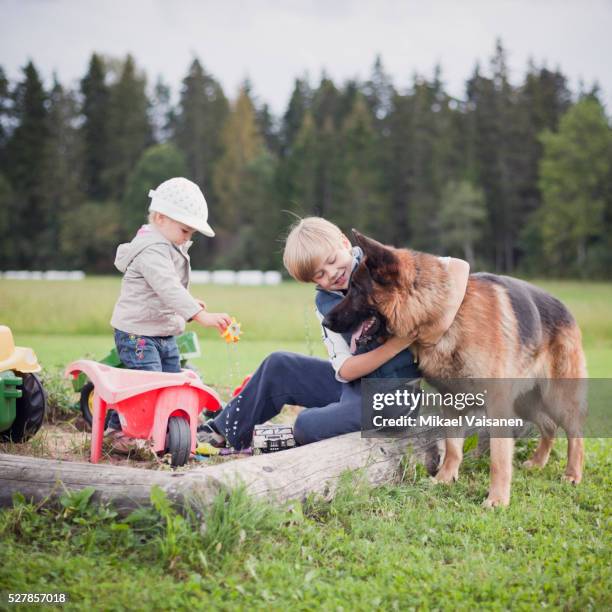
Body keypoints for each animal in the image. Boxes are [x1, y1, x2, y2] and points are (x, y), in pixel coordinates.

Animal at [326, 230, 588, 506]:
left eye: (356, 289)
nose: (325, 322)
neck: (443, 316)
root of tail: (566, 308)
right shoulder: (452, 401)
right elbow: (452, 445)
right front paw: (445, 478)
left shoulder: (497, 406)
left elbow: (499, 457)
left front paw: (497, 499)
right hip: (525, 402)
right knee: (549, 426)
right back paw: (538, 462)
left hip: (557, 398)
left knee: (575, 434)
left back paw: (573, 474)